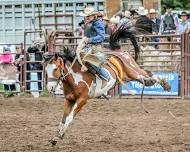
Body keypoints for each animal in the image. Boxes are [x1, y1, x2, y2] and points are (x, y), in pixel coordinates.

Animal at [43, 22, 171, 146]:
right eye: (46, 70)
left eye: (56, 68)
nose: (50, 88)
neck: (75, 78)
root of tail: (119, 51)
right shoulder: (69, 100)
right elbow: (63, 118)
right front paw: (56, 137)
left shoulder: (82, 100)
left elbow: (69, 118)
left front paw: (60, 135)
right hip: (129, 77)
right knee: (148, 78)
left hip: (135, 72)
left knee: (148, 75)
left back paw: (166, 84)